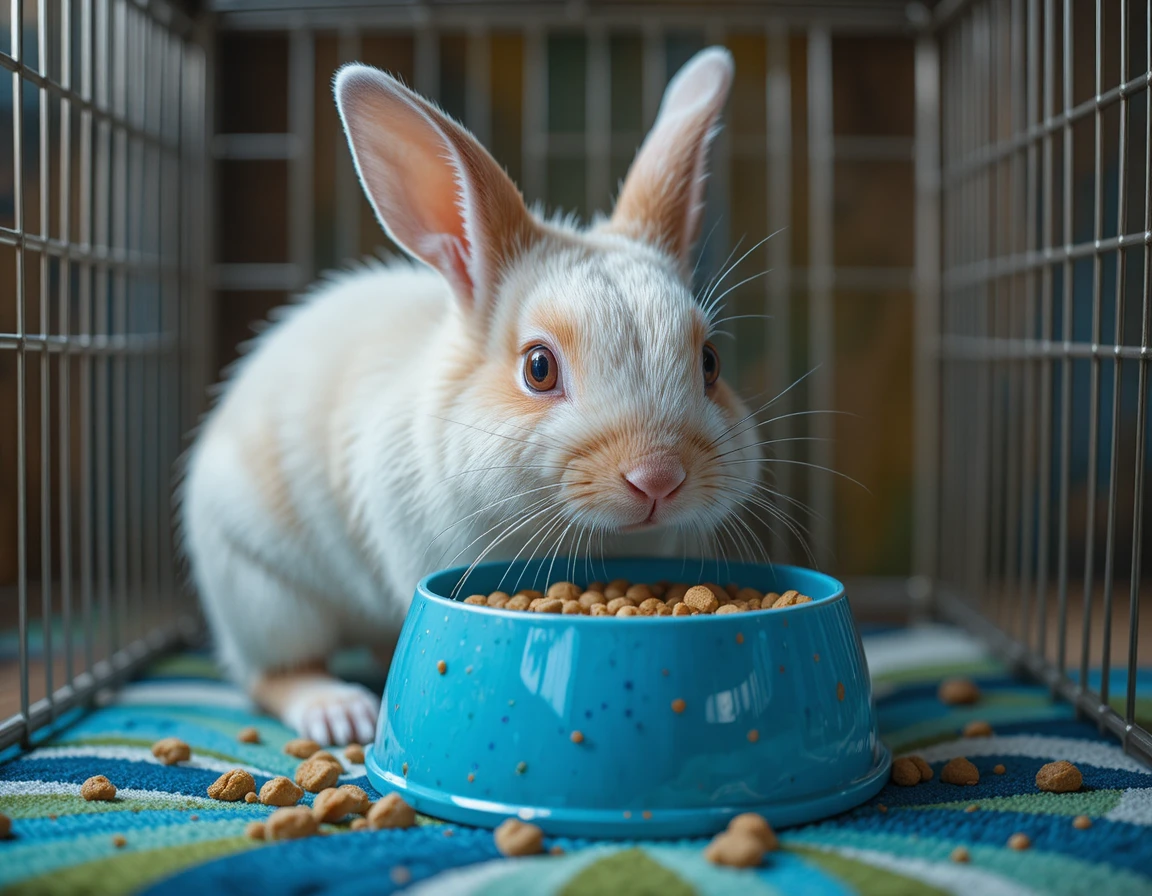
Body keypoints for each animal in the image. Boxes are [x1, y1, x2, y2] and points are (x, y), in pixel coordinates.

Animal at [179, 46, 765, 746]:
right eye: (538, 368)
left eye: (710, 362)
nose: (659, 478)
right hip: (263, 593)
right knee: (273, 673)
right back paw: (338, 712)